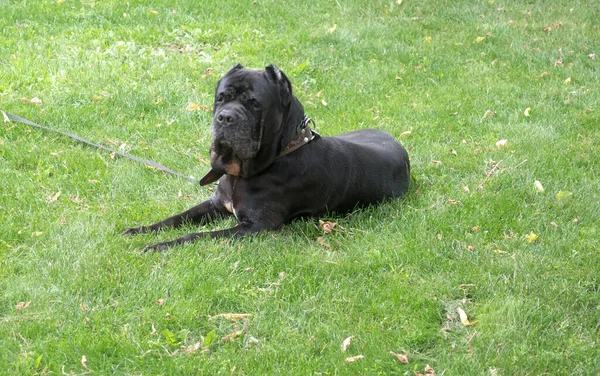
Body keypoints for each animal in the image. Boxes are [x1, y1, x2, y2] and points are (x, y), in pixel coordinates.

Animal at [124, 64, 410, 251]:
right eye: (221, 98)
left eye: (254, 103)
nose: (225, 117)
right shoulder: (216, 205)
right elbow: (176, 218)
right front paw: (140, 230)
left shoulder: (253, 227)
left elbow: (197, 236)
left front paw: (160, 245)